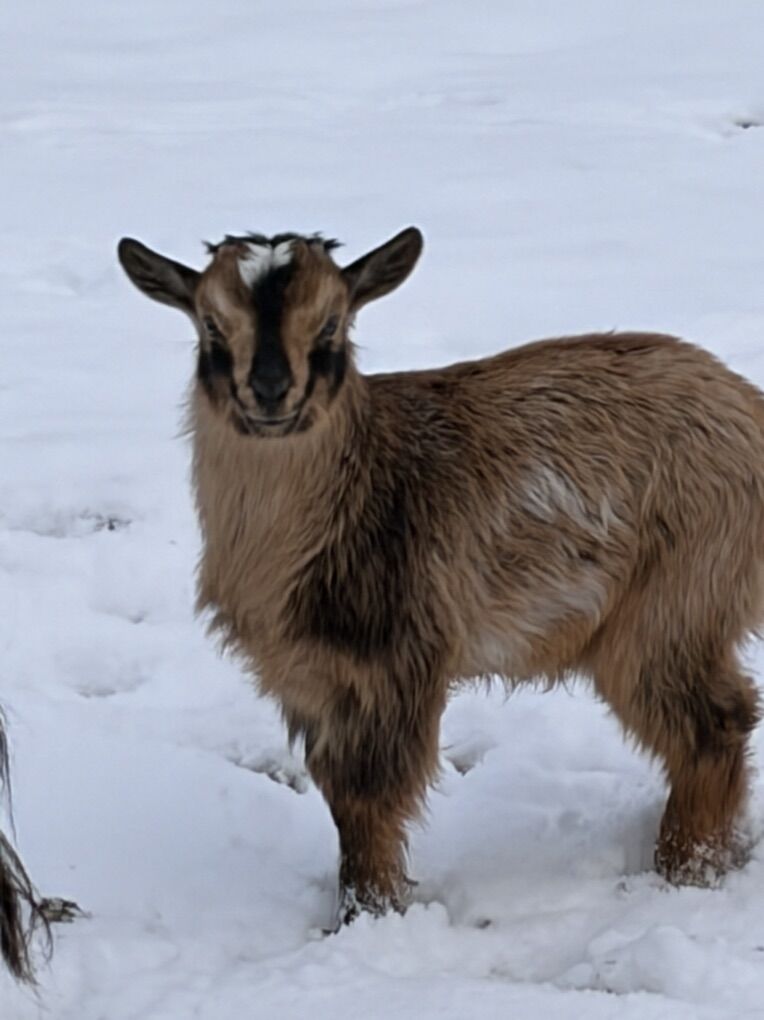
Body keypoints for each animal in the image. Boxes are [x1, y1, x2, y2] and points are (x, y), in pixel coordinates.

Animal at [118, 227, 763, 921]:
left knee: (714, 720)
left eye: (332, 324)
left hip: (677, 594)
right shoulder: (309, 675)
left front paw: (369, 914)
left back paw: (682, 871)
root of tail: (748, 408)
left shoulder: (397, 660)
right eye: (210, 324)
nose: (269, 392)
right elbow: (339, 794)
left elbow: (371, 797)